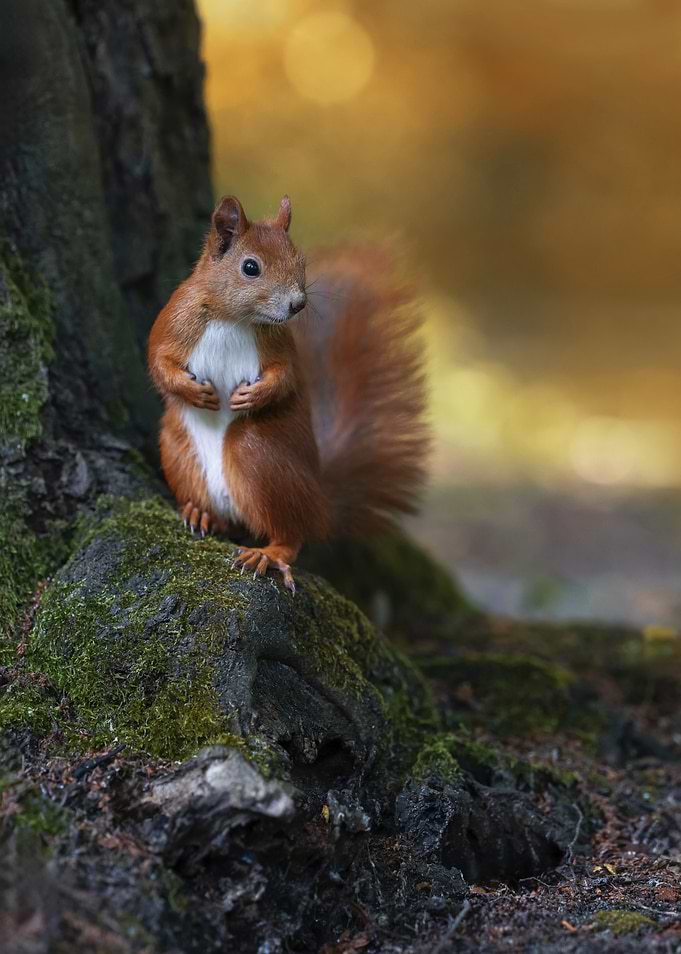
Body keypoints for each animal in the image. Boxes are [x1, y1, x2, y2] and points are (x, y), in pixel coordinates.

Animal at [148, 195, 428, 592]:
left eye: (301, 261)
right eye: (250, 267)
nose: (298, 304)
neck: (233, 319)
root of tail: (321, 506)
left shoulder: (282, 347)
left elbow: (287, 378)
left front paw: (253, 396)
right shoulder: (173, 321)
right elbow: (158, 361)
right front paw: (192, 391)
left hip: (259, 458)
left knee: (292, 534)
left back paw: (268, 554)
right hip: (177, 450)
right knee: (226, 518)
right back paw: (200, 512)